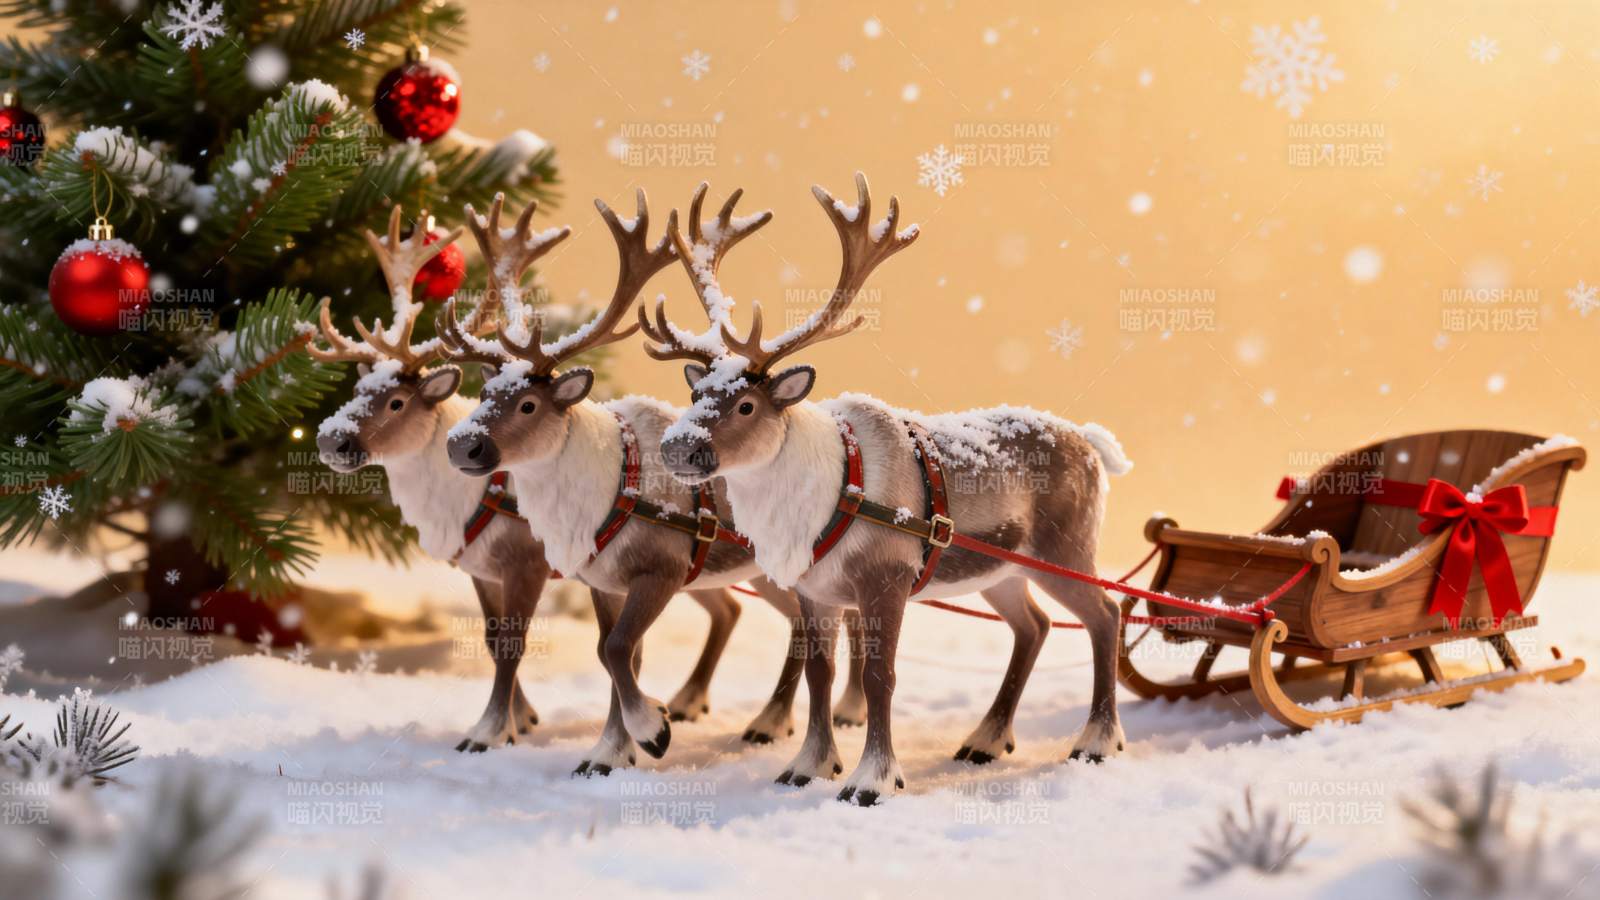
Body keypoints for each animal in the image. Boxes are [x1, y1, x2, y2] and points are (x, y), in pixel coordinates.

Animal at [306, 202, 752, 755]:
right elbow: (493, 639)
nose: (332, 441)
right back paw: (693, 703)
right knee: (730, 608)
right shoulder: (482, 569)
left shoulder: (527, 562)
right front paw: (524, 719)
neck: (458, 504)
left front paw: (491, 730)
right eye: (357, 388)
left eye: (396, 401)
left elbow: (514, 644)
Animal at [436, 188, 868, 774]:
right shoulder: (602, 578)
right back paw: (764, 717)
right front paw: (613, 749)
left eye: (528, 404)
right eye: (483, 394)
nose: (462, 445)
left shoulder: (660, 568)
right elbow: (611, 650)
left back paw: (810, 716)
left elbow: (618, 649)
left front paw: (651, 730)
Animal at [643, 174, 1135, 806]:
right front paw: (808, 764)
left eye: (746, 404)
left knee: (1106, 613)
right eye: (695, 391)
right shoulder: (817, 588)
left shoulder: (888, 578)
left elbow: (881, 678)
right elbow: (821, 673)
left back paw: (1096, 741)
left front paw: (872, 779)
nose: (678, 448)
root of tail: (1092, 444)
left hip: (1065, 549)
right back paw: (986, 739)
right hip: (1002, 570)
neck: (817, 501)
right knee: (1035, 626)